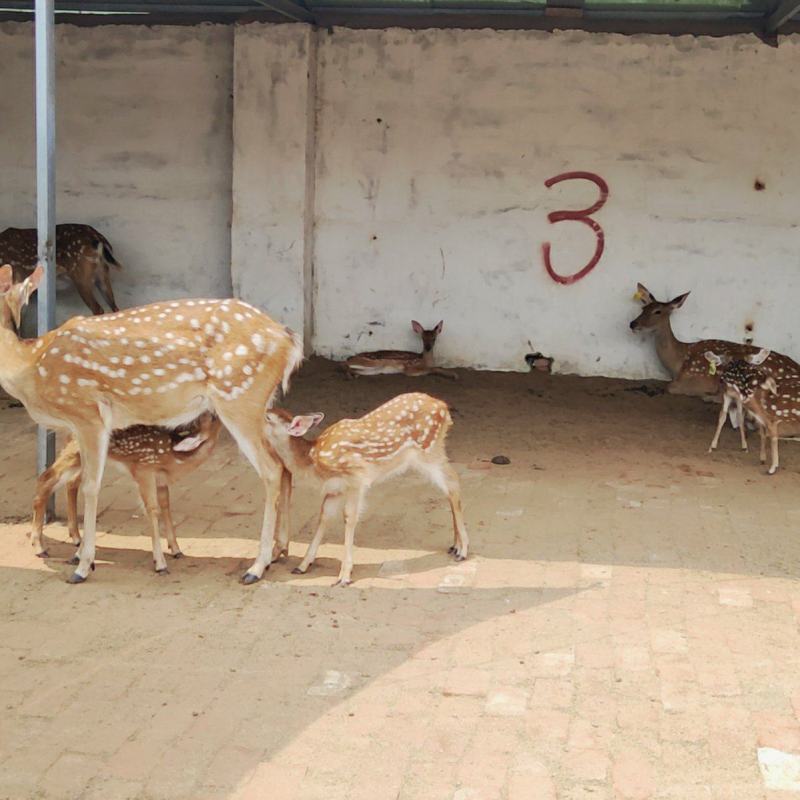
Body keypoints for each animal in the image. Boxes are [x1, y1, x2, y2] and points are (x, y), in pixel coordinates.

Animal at [31, 412, 222, 573]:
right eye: (212, 418)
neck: (174, 457)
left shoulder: (160, 479)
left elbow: (166, 507)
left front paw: (176, 549)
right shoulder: (144, 469)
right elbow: (153, 510)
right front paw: (160, 563)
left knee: (70, 483)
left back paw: (76, 538)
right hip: (74, 450)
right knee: (44, 480)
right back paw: (39, 547)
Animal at [264, 392, 469, 587]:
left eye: (268, 417)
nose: (259, 414)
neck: (313, 460)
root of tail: (444, 407)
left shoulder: (356, 477)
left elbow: (349, 517)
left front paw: (344, 575)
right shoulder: (335, 488)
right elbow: (324, 516)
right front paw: (303, 565)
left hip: (428, 450)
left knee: (453, 483)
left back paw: (463, 549)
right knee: (450, 486)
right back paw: (455, 545)